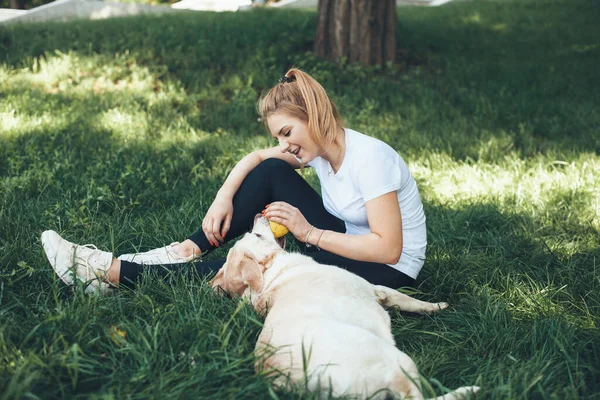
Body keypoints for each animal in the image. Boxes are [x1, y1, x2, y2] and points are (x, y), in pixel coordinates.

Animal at [211, 217, 478, 398]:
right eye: (256, 236)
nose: (260, 214)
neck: (270, 276)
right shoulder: (376, 288)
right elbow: (409, 300)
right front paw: (438, 306)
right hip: (399, 360)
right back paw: (468, 390)